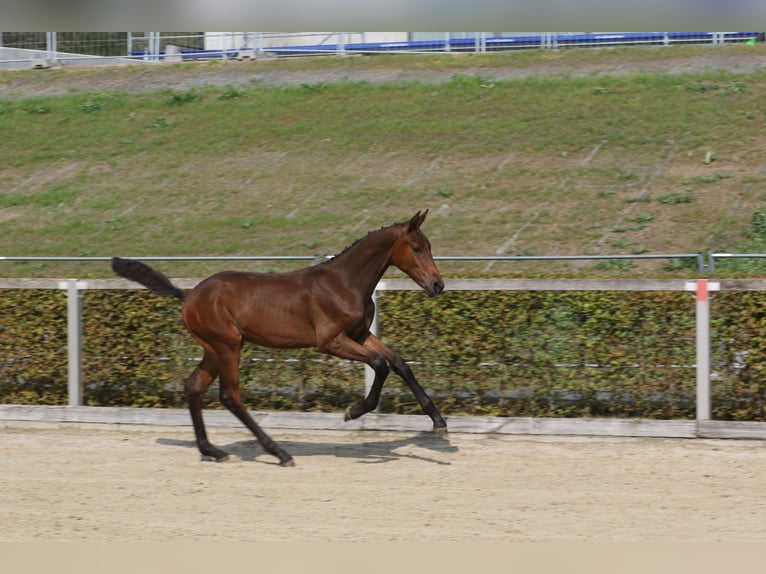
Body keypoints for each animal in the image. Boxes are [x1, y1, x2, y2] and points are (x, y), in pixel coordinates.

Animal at [115, 212, 450, 468]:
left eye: (429, 246)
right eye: (416, 248)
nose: (438, 285)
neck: (343, 283)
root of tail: (188, 295)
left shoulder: (360, 334)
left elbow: (400, 363)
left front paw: (439, 423)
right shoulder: (330, 341)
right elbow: (380, 364)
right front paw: (353, 411)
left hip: (215, 348)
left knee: (193, 387)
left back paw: (212, 451)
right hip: (227, 346)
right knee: (230, 396)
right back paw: (279, 453)